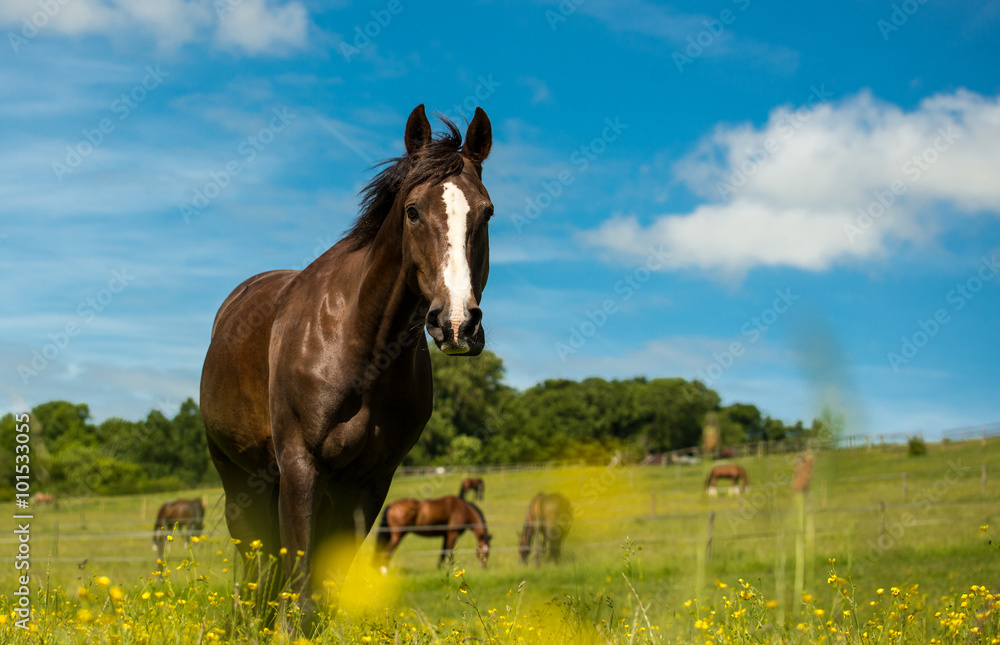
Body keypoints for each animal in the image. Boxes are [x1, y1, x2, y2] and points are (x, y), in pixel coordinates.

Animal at [199, 105, 494, 621]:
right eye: (412, 211)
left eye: (487, 212)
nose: (457, 323)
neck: (360, 346)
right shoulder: (301, 467)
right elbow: (298, 588)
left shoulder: (369, 483)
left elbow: (325, 589)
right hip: (238, 479)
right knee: (257, 572)